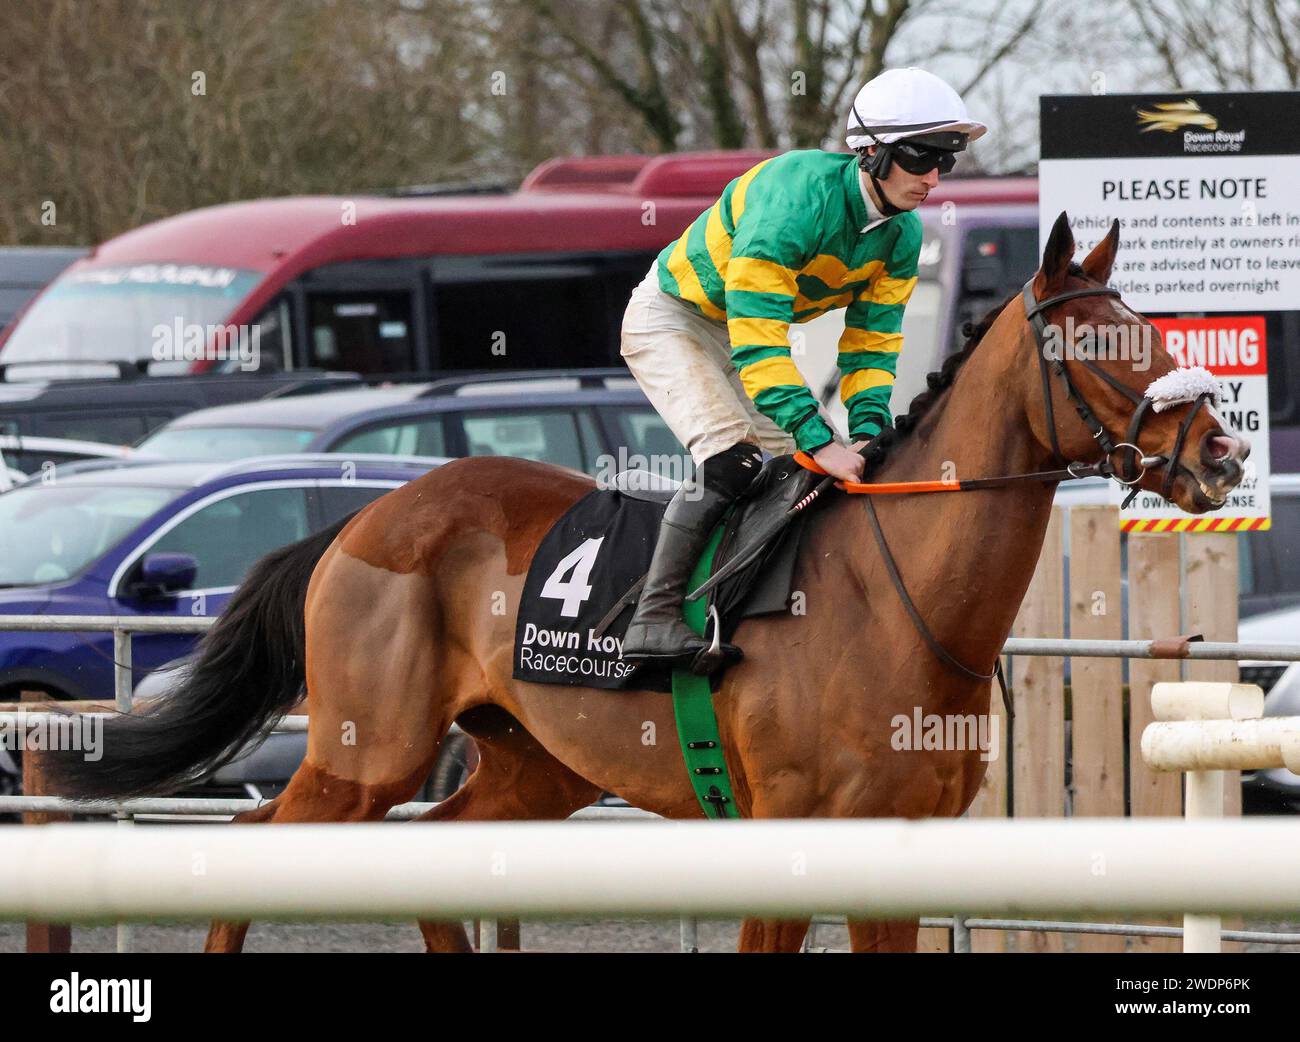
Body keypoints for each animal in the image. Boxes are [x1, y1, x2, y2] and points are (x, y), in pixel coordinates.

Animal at [53, 213, 1248, 951]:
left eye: (1149, 328)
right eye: (1100, 345)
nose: (1223, 453)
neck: (892, 600)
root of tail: (364, 515)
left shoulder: (900, 847)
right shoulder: (788, 833)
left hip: (533, 765)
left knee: (428, 847)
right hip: (364, 754)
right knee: (254, 844)